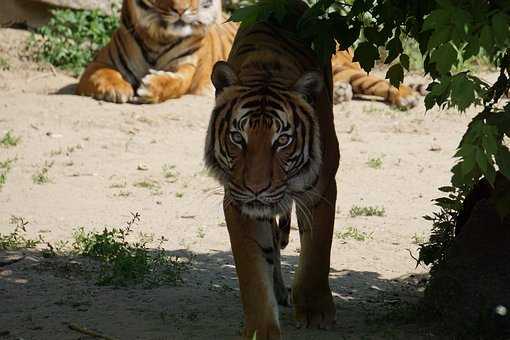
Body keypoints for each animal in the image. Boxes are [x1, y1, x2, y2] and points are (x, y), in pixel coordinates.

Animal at [75, 0, 418, 107]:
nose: (182, 11)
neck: (157, 36)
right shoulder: (96, 65)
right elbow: (104, 75)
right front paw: (116, 90)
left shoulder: (187, 70)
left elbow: (173, 83)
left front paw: (149, 87)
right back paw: (341, 95)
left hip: (343, 68)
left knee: (381, 83)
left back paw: (407, 97)